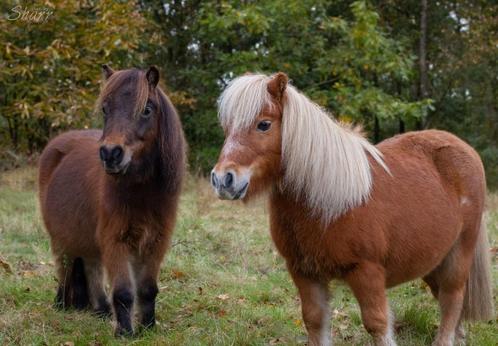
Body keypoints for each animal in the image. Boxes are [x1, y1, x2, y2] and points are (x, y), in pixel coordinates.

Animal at [37, 64, 185, 336]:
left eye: (146, 109)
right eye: (105, 109)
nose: (110, 154)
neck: (143, 194)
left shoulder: (155, 243)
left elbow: (148, 289)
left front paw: (148, 327)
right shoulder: (115, 240)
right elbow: (125, 292)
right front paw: (125, 333)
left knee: (90, 266)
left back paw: (101, 309)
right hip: (60, 238)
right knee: (64, 268)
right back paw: (61, 304)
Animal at [211, 73, 494, 346]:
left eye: (264, 124)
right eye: (227, 128)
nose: (223, 180)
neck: (327, 202)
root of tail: (465, 150)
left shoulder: (367, 272)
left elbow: (376, 324)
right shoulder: (304, 272)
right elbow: (314, 321)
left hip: (459, 253)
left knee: (452, 298)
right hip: (433, 259)